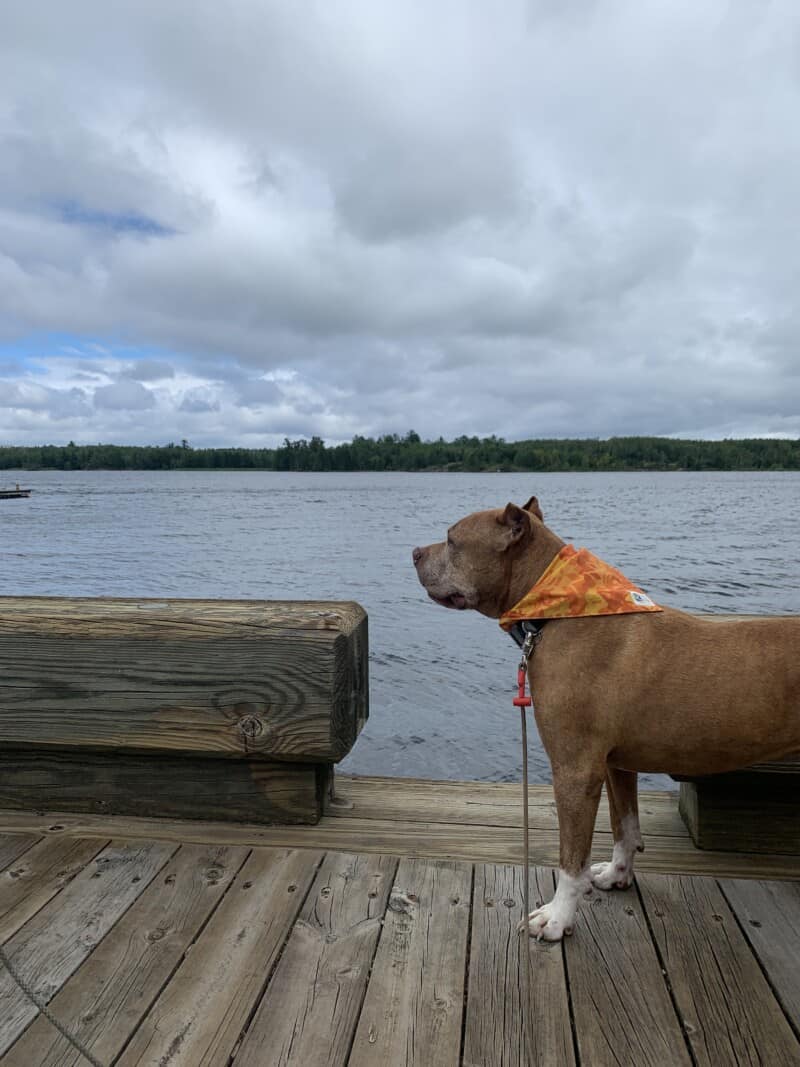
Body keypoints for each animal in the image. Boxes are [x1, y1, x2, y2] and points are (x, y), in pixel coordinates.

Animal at [413, 495, 800, 938]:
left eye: (452, 540)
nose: (415, 553)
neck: (557, 609)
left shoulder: (575, 769)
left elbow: (571, 858)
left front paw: (557, 916)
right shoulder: (617, 764)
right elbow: (625, 828)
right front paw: (617, 875)